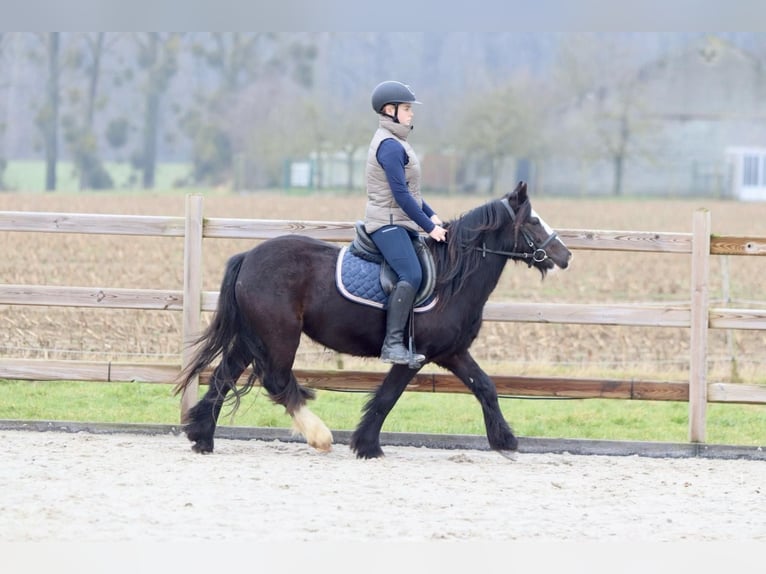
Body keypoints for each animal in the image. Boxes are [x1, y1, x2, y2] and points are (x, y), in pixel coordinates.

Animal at [174, 182, 568, 462]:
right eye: (533, 221)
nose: (565, 256)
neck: (451, 278)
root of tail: (248, 256)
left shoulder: (452, 352)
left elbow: (485, 386)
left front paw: (506, 440)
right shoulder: (415, 356)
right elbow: (387, 397)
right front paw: (367, 446)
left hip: (253, 336)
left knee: (225, 373)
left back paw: (202, 436)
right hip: (279, 336)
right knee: (275, 379)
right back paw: (319, 436)